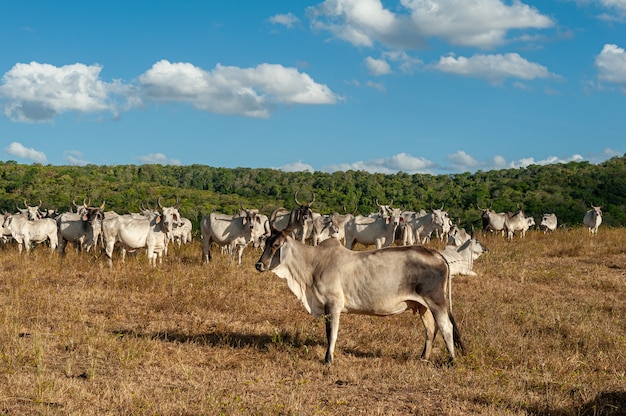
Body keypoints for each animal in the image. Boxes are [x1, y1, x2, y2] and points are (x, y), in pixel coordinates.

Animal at [254, 216, 464, 366]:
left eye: (276, 245)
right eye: (266, 243)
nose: (259, 264)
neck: (314, 263)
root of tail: (436, 254)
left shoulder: (333, 304)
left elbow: (331, 333)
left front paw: (328, 360)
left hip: (437, 302)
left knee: (446, 328)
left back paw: (451, 361)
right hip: (422, 306)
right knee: (430, 329)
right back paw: (423, 358)